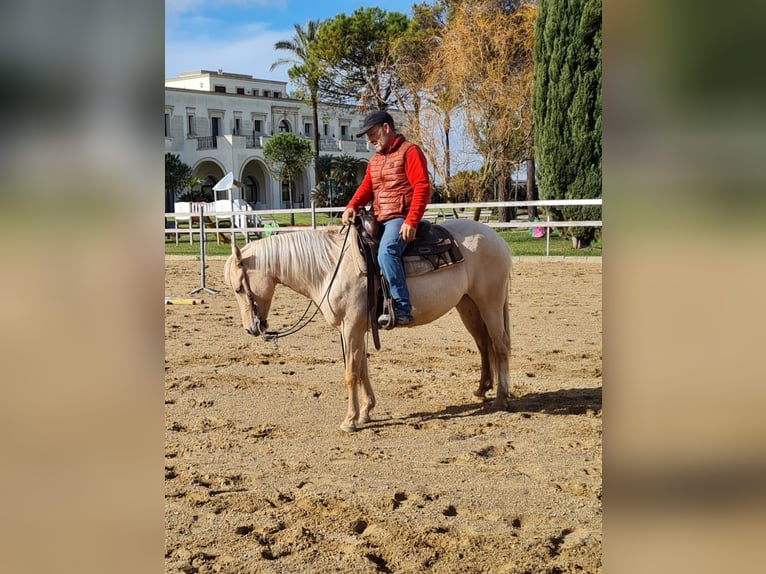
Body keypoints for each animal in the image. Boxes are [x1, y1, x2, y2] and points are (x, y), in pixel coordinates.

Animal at [223, 219, 512, 432]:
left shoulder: (351, 325)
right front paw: (366, 412)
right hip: (468, 305)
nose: (251, 328)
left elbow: (351, 372)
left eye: (238, 288)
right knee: (483, 344)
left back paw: (501, 397)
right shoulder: (352, 328)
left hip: (490, 303)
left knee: (500, 346)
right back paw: (482, 389)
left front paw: (350, 420)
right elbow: (361, 367)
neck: (330, 268)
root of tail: (497, 239)